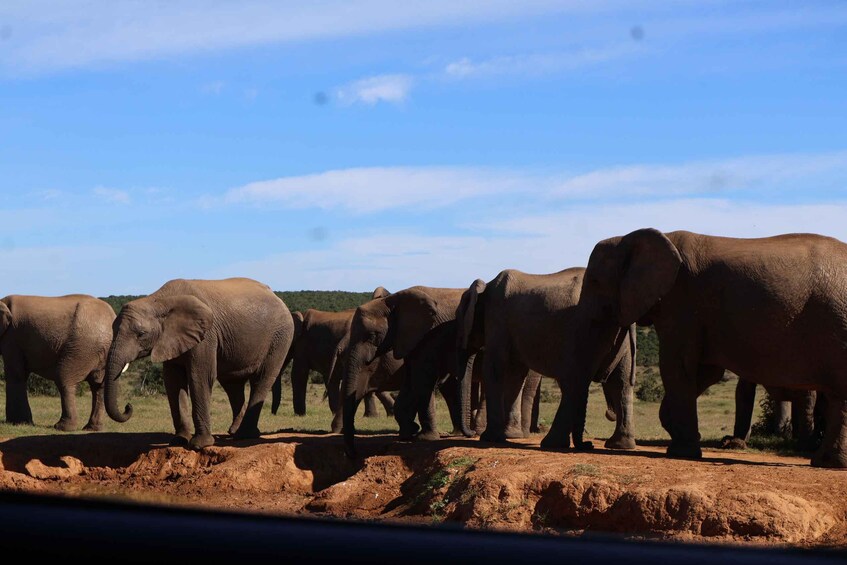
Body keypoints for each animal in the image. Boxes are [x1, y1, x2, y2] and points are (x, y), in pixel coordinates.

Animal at [0, 294, 117, 431]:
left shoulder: (11, 337)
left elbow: (16, 374)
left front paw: (19, 423)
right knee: (98, 386)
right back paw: (92, 428)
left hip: (83, 346)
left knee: (64, 379)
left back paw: (62, 427)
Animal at [103, 277, 294, 450]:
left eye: (141, 334)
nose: (128, 406)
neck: (158, 301)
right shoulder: (171, 339)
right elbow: (173, 382)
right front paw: (179, 441)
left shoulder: (206, 336)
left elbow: (200, 377)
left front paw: (199, 445)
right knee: (233, 385)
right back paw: (234, 432)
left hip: (280, 337)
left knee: (261, 380)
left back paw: (244, 435)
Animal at [341, 286, 475, 458]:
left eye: (372, 335)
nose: (354, 454)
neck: (393, 301)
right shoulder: (408, 339)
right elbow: (410, 378)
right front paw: (409, 432)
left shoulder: (430, 333)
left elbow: (422, 377)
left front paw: (424, 437)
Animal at [456, 269, 636, 449]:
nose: (471, 433)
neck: (485, 287)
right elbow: (515, 374)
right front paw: (510, 435)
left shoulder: (497, 319)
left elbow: (494, 367)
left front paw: (490, 438)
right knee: (621, 383)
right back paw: (618, 444)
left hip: (586, 330)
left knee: (575, 381)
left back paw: (555, 443)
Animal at [567, 228, 847, 468]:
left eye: (594, 281)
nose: (588, 445)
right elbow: (707, 372)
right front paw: (678, 432)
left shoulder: (682, 301)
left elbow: (676, 365)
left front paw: (681, 451)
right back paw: (823, 461)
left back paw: (827, 461)